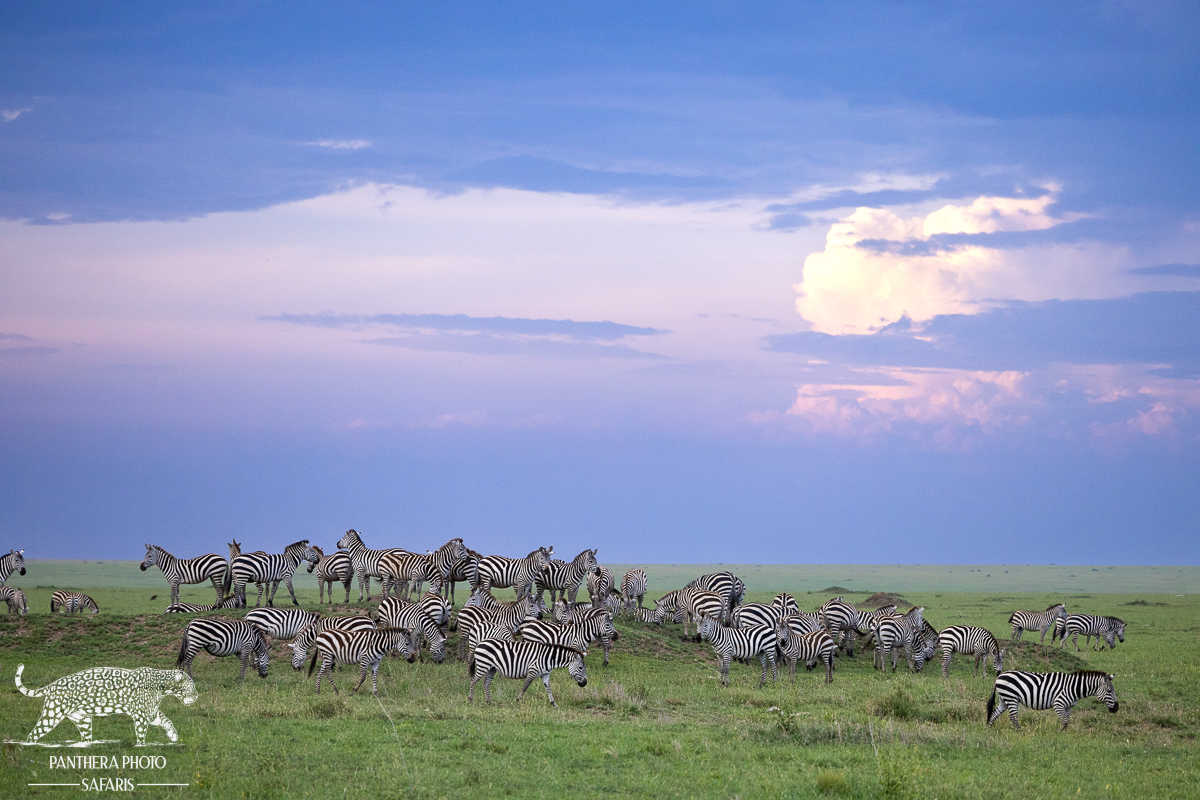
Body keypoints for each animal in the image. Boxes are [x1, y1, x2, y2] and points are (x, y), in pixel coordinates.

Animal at [987, 671, 1119, 730]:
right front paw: (1059, 734)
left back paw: (989, 729)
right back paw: (1020, 733)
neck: (1073, 688)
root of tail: (999, 676)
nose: (1116, 708)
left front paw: (1064, 734)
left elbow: (1067, 722)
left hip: (1004, 699)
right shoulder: (1058, 704)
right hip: (1011, 698)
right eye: (1109, 691)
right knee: (1013, 716)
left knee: (994, 713)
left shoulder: (1069, 707)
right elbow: (1064, 721)